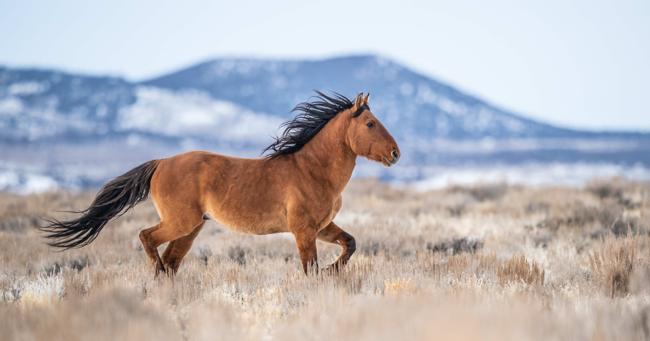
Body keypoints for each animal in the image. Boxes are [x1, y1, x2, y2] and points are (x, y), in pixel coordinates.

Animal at [41, 91, 400, 274]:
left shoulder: (322, 227)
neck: (312, 170)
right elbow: (309, 267)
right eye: (370, 124)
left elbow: (350, 243)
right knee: (148, 239)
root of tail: (160, 164)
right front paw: (324, 275)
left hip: (191, 228)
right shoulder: (303, 230)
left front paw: (332, 270)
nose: (396, 153)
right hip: (181, 222)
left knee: (172, 261)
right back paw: (155, 273)